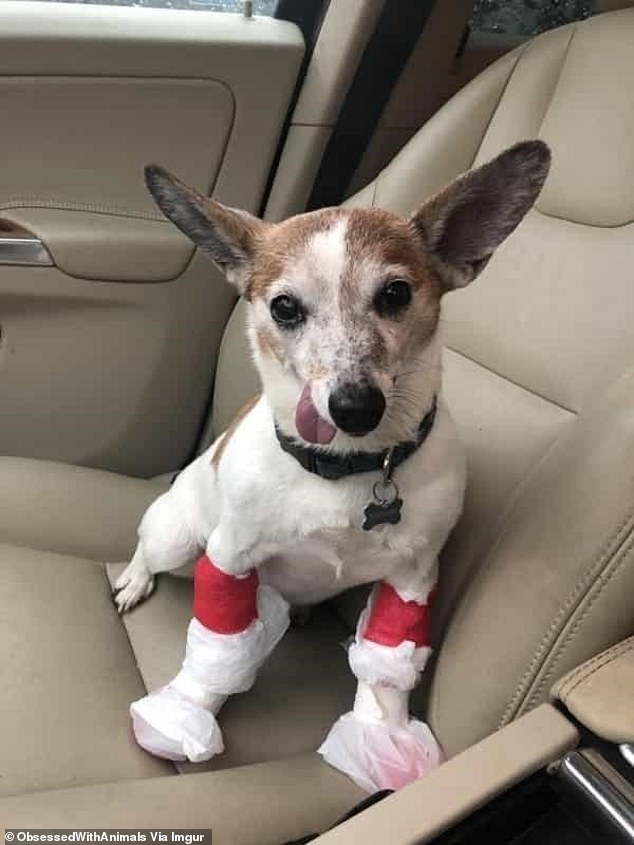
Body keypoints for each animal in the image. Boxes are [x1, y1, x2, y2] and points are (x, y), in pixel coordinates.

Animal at [112, 138, 548, 792]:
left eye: (395, 294)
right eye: (285, 307)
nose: (354, 407)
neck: (347, 469)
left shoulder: (413, 579)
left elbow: (385, 675)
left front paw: (382, 739)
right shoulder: (230, 558)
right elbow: (214, 657)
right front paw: (185, 716)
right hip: (180, 537)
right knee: (150, 550)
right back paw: (136, 579)